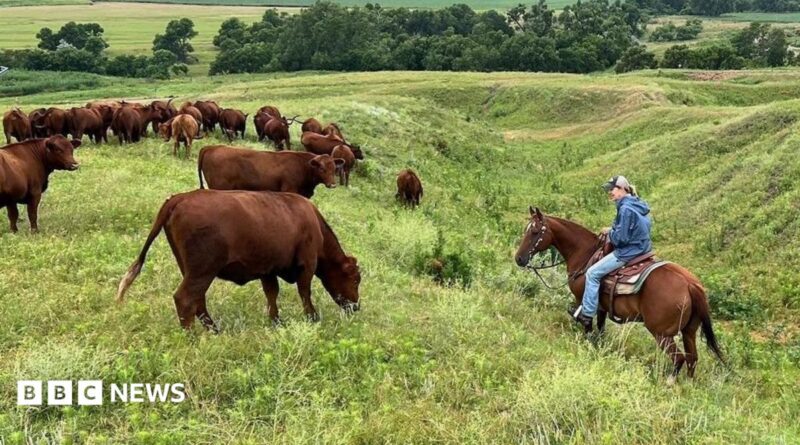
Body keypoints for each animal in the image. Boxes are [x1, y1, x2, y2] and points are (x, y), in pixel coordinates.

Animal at [115, 189, 362, 329]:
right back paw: (193, 337)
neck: (313, 223)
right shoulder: (307, 265)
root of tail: (179, 198)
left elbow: (272, 294)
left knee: (198, 301)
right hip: (202, 270)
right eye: (356, 279)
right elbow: (305, 293)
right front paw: (312, 318)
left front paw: (275, 321)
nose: (356, 306)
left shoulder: (268, 269)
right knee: (185, 299)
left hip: (191, 270)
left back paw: (214, 330)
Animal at [515, 206, 724, 383]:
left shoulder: (583, 298)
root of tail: (690, 284)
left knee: (679, 358)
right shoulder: (601, 307)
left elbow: (587, 325)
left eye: (534, 232)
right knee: (692, 359)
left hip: (661, 333)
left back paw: (669, 383)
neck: (584, 254)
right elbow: (600, 329)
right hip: (689, 331)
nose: (519, 259)